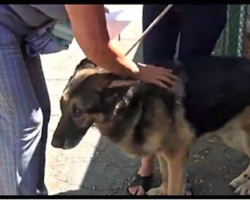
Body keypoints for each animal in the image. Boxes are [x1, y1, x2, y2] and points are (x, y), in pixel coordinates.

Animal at [51, 55, 250, 195]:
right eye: (61, 105)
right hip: (232, 134)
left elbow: (174, 187)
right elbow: (165, 175)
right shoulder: (163, 152)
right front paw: (161, 190)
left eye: (78, 112)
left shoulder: (176, 154)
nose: (53, 144)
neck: (135, 102)